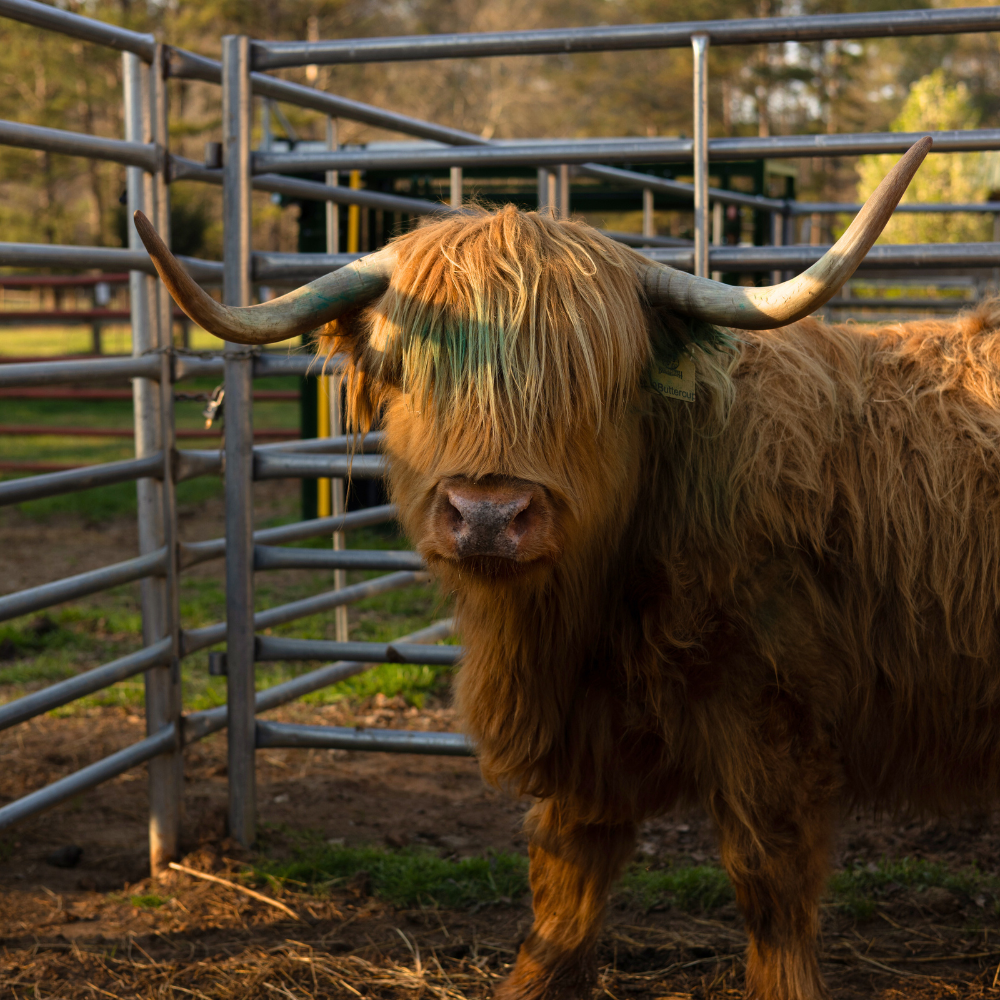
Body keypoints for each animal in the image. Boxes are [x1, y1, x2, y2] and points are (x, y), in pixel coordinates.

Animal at [133, 136, 999, 1000]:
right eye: (417, 371)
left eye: (583, 382)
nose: (488, 515)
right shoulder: (587, 733)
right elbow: (565, 882)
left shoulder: (772, 712)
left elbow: (769, 882)